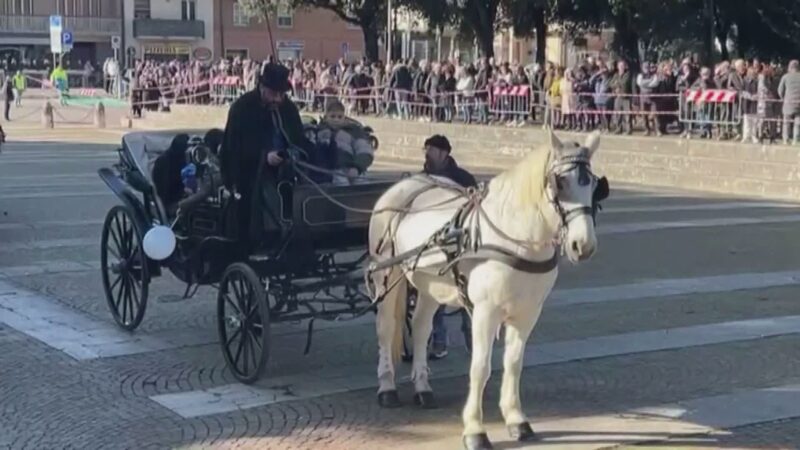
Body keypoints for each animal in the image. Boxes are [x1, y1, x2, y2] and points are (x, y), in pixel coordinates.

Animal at [366, 130, 604, 450]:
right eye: (561, 183)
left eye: (592, 184)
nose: (583, 246)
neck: (516, 238)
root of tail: (405, 184)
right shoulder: (485, 312)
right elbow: (480, 368)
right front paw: (475, 430)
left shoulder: (527, 313)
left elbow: (513, 363)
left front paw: (517, 420)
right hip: (386, 274)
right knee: (386, 327)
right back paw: (387, 388)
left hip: (429, 287)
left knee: (421, 327)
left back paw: (423, 388)